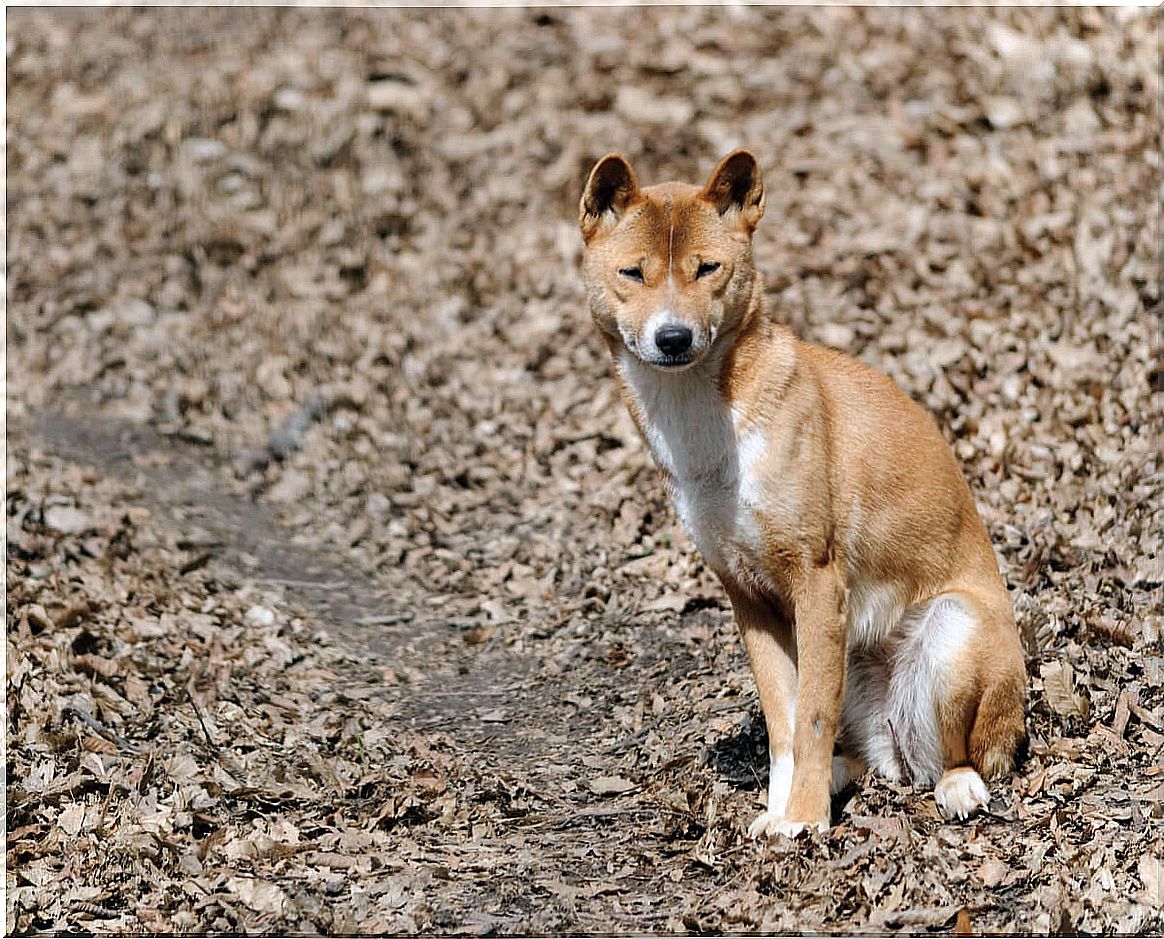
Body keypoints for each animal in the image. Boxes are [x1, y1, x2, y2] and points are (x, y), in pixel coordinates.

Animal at [577, 148, 1024, 837]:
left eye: (708, 269)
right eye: (633, 273)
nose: (674, 338)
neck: (707, 430)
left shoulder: (817, 584)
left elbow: (809, 720)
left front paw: (805, 822)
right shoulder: (749, 599)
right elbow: (784, 725)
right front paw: (779, 811)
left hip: (952, 631)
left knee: (951, 758)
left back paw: (957, 786)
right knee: (874, 762)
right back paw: (846, 775)